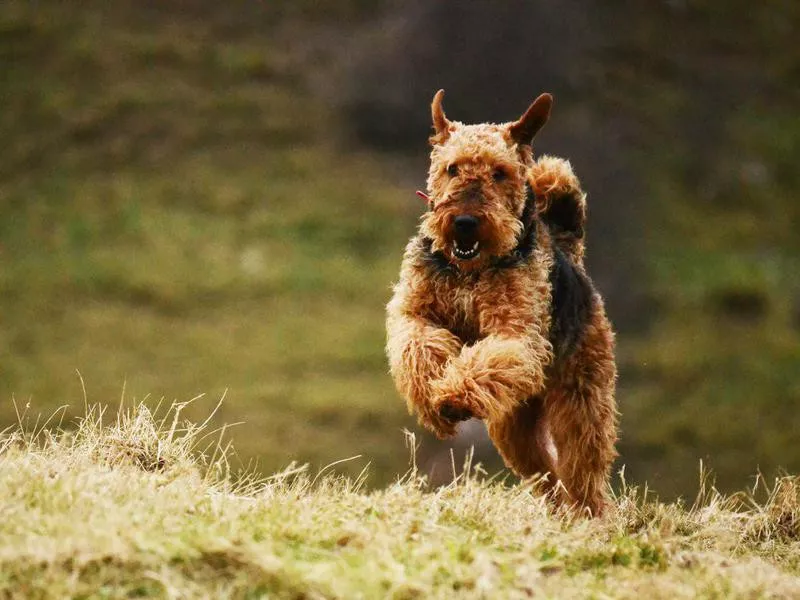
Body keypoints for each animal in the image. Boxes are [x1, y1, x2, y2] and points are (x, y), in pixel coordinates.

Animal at [388, 90, 620, 516]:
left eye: (499, 172)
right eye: (452, 168)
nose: (464, 222)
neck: (469, 271)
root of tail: (568, 249)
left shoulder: (514, 333)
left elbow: (489, 358)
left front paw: (453, 397)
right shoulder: (414, 314)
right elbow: (420, 348)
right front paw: (434, 402)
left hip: (580, 399)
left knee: (583, 471)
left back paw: (589, 515)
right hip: (513, 423)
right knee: (546, 475)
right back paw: (557, 511)